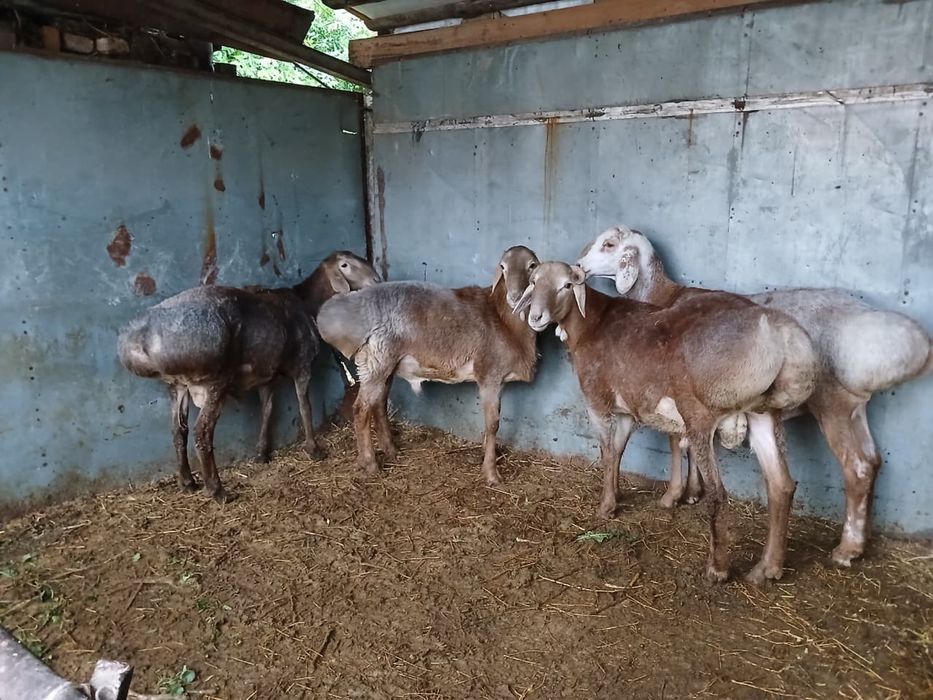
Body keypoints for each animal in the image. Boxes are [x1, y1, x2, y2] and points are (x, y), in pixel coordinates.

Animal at [118, 251, 379, 503]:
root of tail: (143, 338)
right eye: (345, 265)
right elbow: (304, 406)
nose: (376, 280)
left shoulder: (266, 373)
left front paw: (262, 452)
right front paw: (314, 449)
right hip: (214, 380)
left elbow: (267, 409)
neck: (307, 303)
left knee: (177, 430)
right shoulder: (302, 366)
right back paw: (217, 491)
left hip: (176, 385)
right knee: (202, 432)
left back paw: (187, 482)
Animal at [317, 246, 540, 484]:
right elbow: (493, 424)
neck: (503, 319)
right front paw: (491, 473)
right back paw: (370, 463)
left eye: (532, 266)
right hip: (376, 361)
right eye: (503, 267)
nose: (514, 297)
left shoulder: (498, 380)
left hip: (385, 364)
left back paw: (390, 450)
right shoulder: (489, 375)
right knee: (361, 410)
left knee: (378, 403)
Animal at [515, 261, 819, 583]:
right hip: (762, 414)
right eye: (533, 282)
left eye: (566, 286)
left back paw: (718, 568)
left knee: (718, 493)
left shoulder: (597, 401)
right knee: (781, 485)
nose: (536, 317)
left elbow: (606, 452)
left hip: (701, 413)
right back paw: (767, 568)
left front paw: (605, 506)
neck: (591, 325)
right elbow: (618, 452)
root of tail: (778, 335)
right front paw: (616, 496)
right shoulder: (628, 408)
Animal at [577, 225, 933, 565]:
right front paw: (692, 492)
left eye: (609, 245)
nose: (580, 266)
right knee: (872, 461)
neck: (663, 296)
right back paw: (859, 543)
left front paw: (673, 496)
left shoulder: (667, 391)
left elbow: (675, 443)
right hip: (855, 407)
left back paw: (847, 549)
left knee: (855, 467)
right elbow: (688, 445)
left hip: (833, 403)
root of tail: (872, 328)